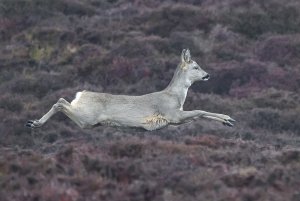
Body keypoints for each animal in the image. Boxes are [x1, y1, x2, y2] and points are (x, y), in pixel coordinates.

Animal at [26, 48, 234, 130]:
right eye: (196, 67)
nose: (208, 75)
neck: (175, 96)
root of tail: (81, 94)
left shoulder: (175, 119)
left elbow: (200, 114)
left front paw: (227, 121)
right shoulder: (172, 114)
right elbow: (200, 110)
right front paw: (228, 118)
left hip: (86, 119)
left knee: (62, 101)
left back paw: (34, 122)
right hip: (87, 118)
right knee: (60, 102)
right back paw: (35, 123)